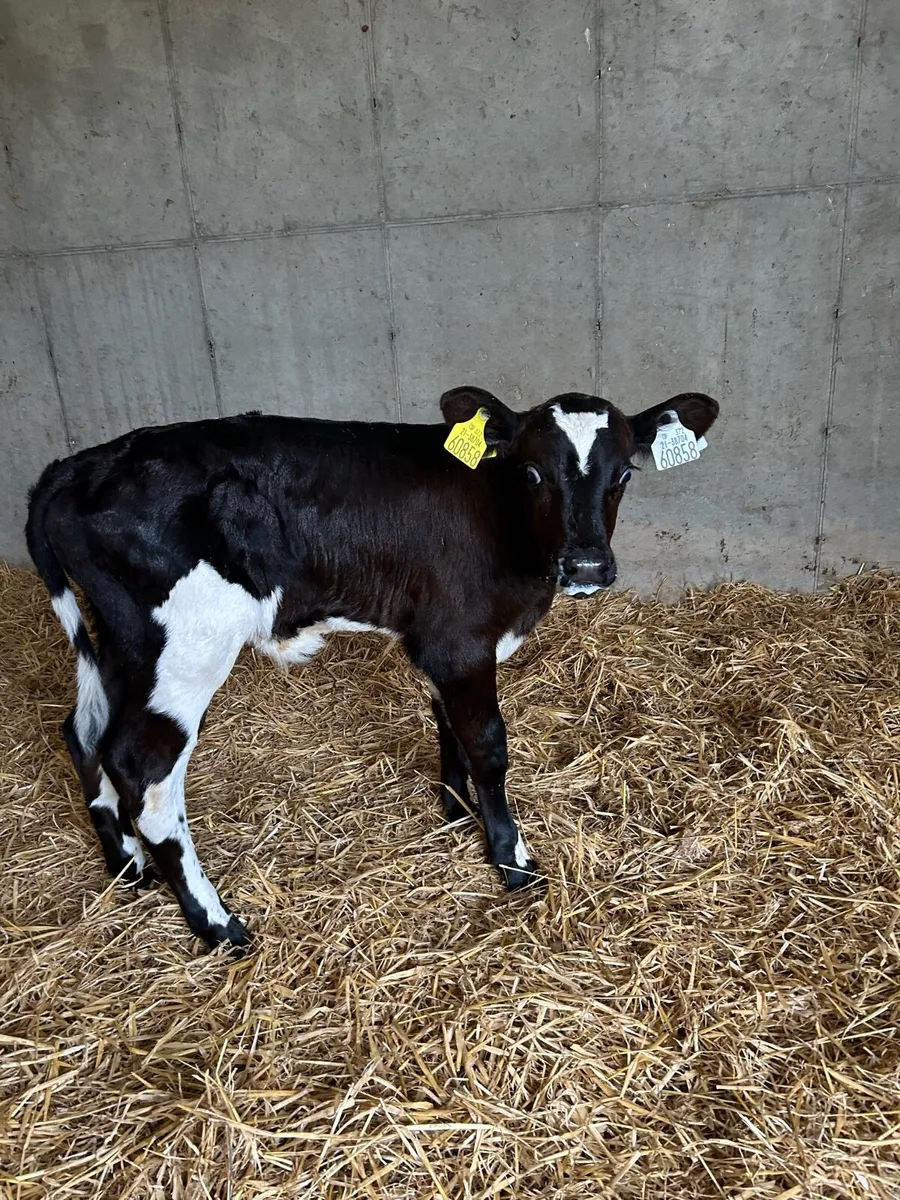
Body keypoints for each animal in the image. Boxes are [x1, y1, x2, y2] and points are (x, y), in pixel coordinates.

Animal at [25, 386, 719, 950]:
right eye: (531, 471)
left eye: (623, 472)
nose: (587, 566)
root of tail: (80, 464)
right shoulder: (461, 640)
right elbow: (487, 743)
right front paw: (512, 859)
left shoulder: (438, 642)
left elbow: (448, 724)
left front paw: (455, 807)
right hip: (186, 647)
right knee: (143, 766)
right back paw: (216, 923)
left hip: (123, 644)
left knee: (85, 734)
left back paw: (126, 866)